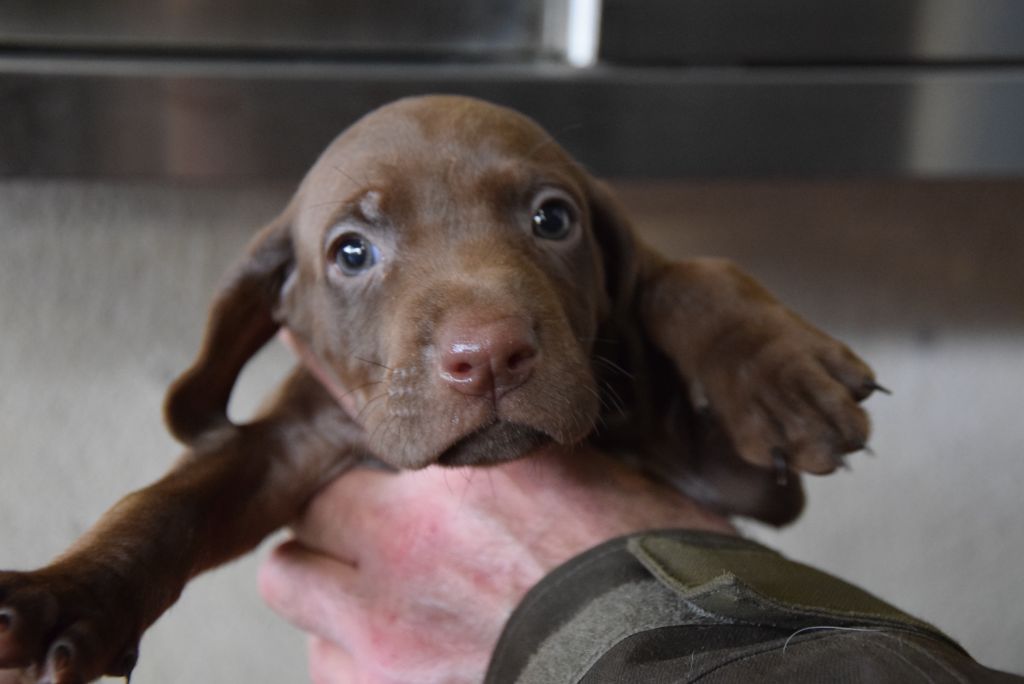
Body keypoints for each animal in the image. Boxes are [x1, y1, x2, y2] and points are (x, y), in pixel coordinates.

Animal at [2, 93, 880, 679]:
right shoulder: (288, 445)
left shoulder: (730, 476)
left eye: (553, 219)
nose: (488, 355)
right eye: (351, 252)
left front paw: (778, 369)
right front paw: (66, 597)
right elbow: (165, 508)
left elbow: (684, 276)